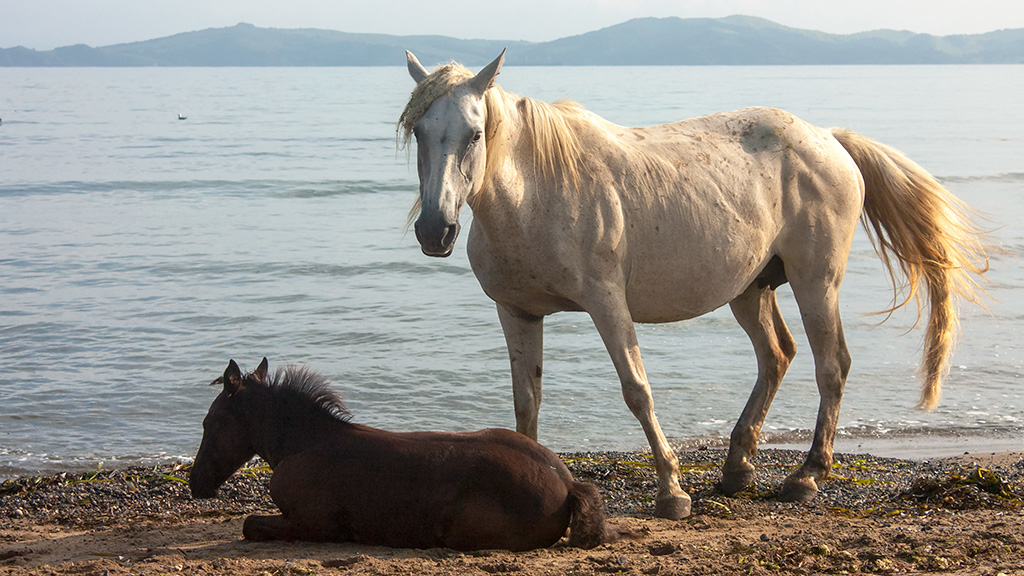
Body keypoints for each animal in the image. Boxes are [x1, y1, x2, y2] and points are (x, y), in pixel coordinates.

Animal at [397, 48, 983, 516]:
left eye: (475, 134)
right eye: (419, 130)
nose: (435, 230)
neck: (537, 192)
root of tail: (829, 140)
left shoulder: (608, 303)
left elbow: (637, 390)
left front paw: (672, 491)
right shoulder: (517, 311)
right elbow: (527, 400)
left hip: (816, 282)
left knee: (831, 364)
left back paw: (807, 476)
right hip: (751, 289)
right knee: (777, 355)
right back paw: (738, 467)